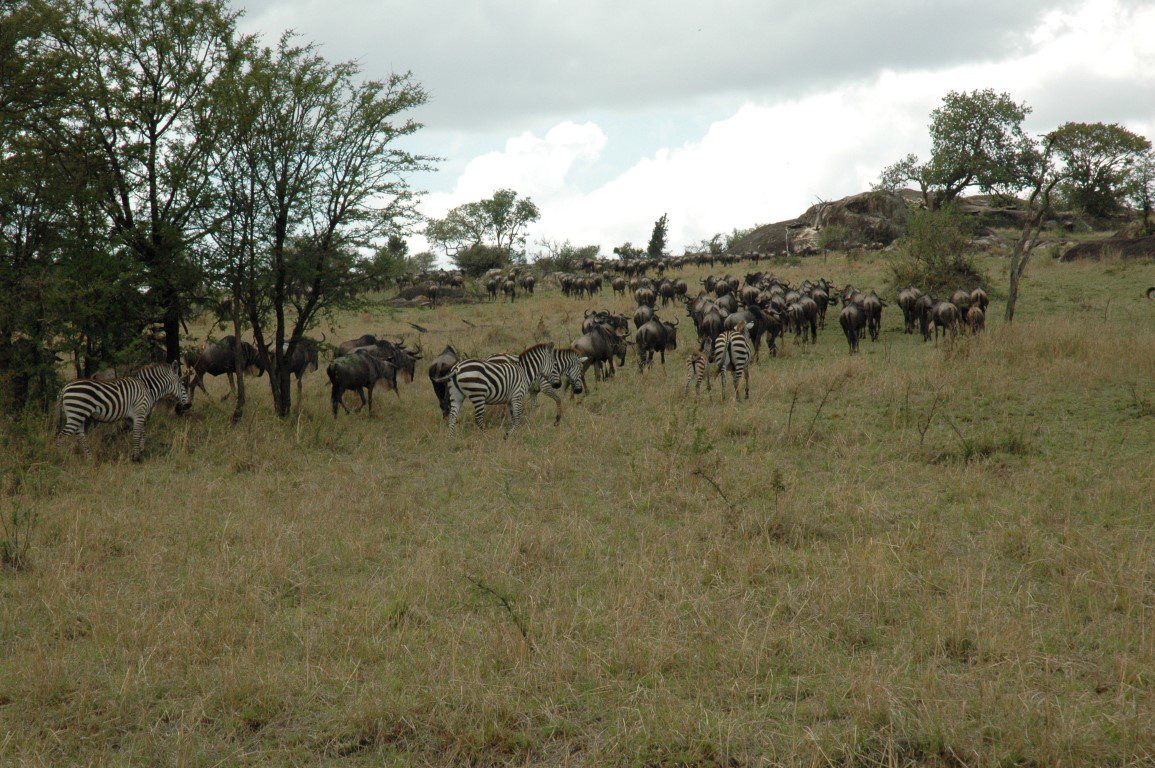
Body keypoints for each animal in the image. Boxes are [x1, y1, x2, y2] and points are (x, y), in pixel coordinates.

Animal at [55, 362, 190, 462]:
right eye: (182, 385)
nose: (189, 405)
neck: (147, 388)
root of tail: (65, 388)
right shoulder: (140, 412)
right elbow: (137, 435)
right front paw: (135, 458)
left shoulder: (131, 417)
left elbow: (142, 434)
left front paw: (140, 452)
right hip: (77, 413)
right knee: (61, 436)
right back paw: (59, 458)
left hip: (79, 415)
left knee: (80, 436)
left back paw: (89, 458)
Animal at [440, 344, 587, 435]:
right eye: (581, 371)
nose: (579, 391)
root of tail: (457, 368)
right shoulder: (544, 387)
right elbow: (558, 399)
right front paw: (557, 420)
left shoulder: (533, 391)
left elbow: (533, 406)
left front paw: (531, 421)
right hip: (479, 394)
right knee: (479, 418)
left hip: (458, 395)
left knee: (453, 416)